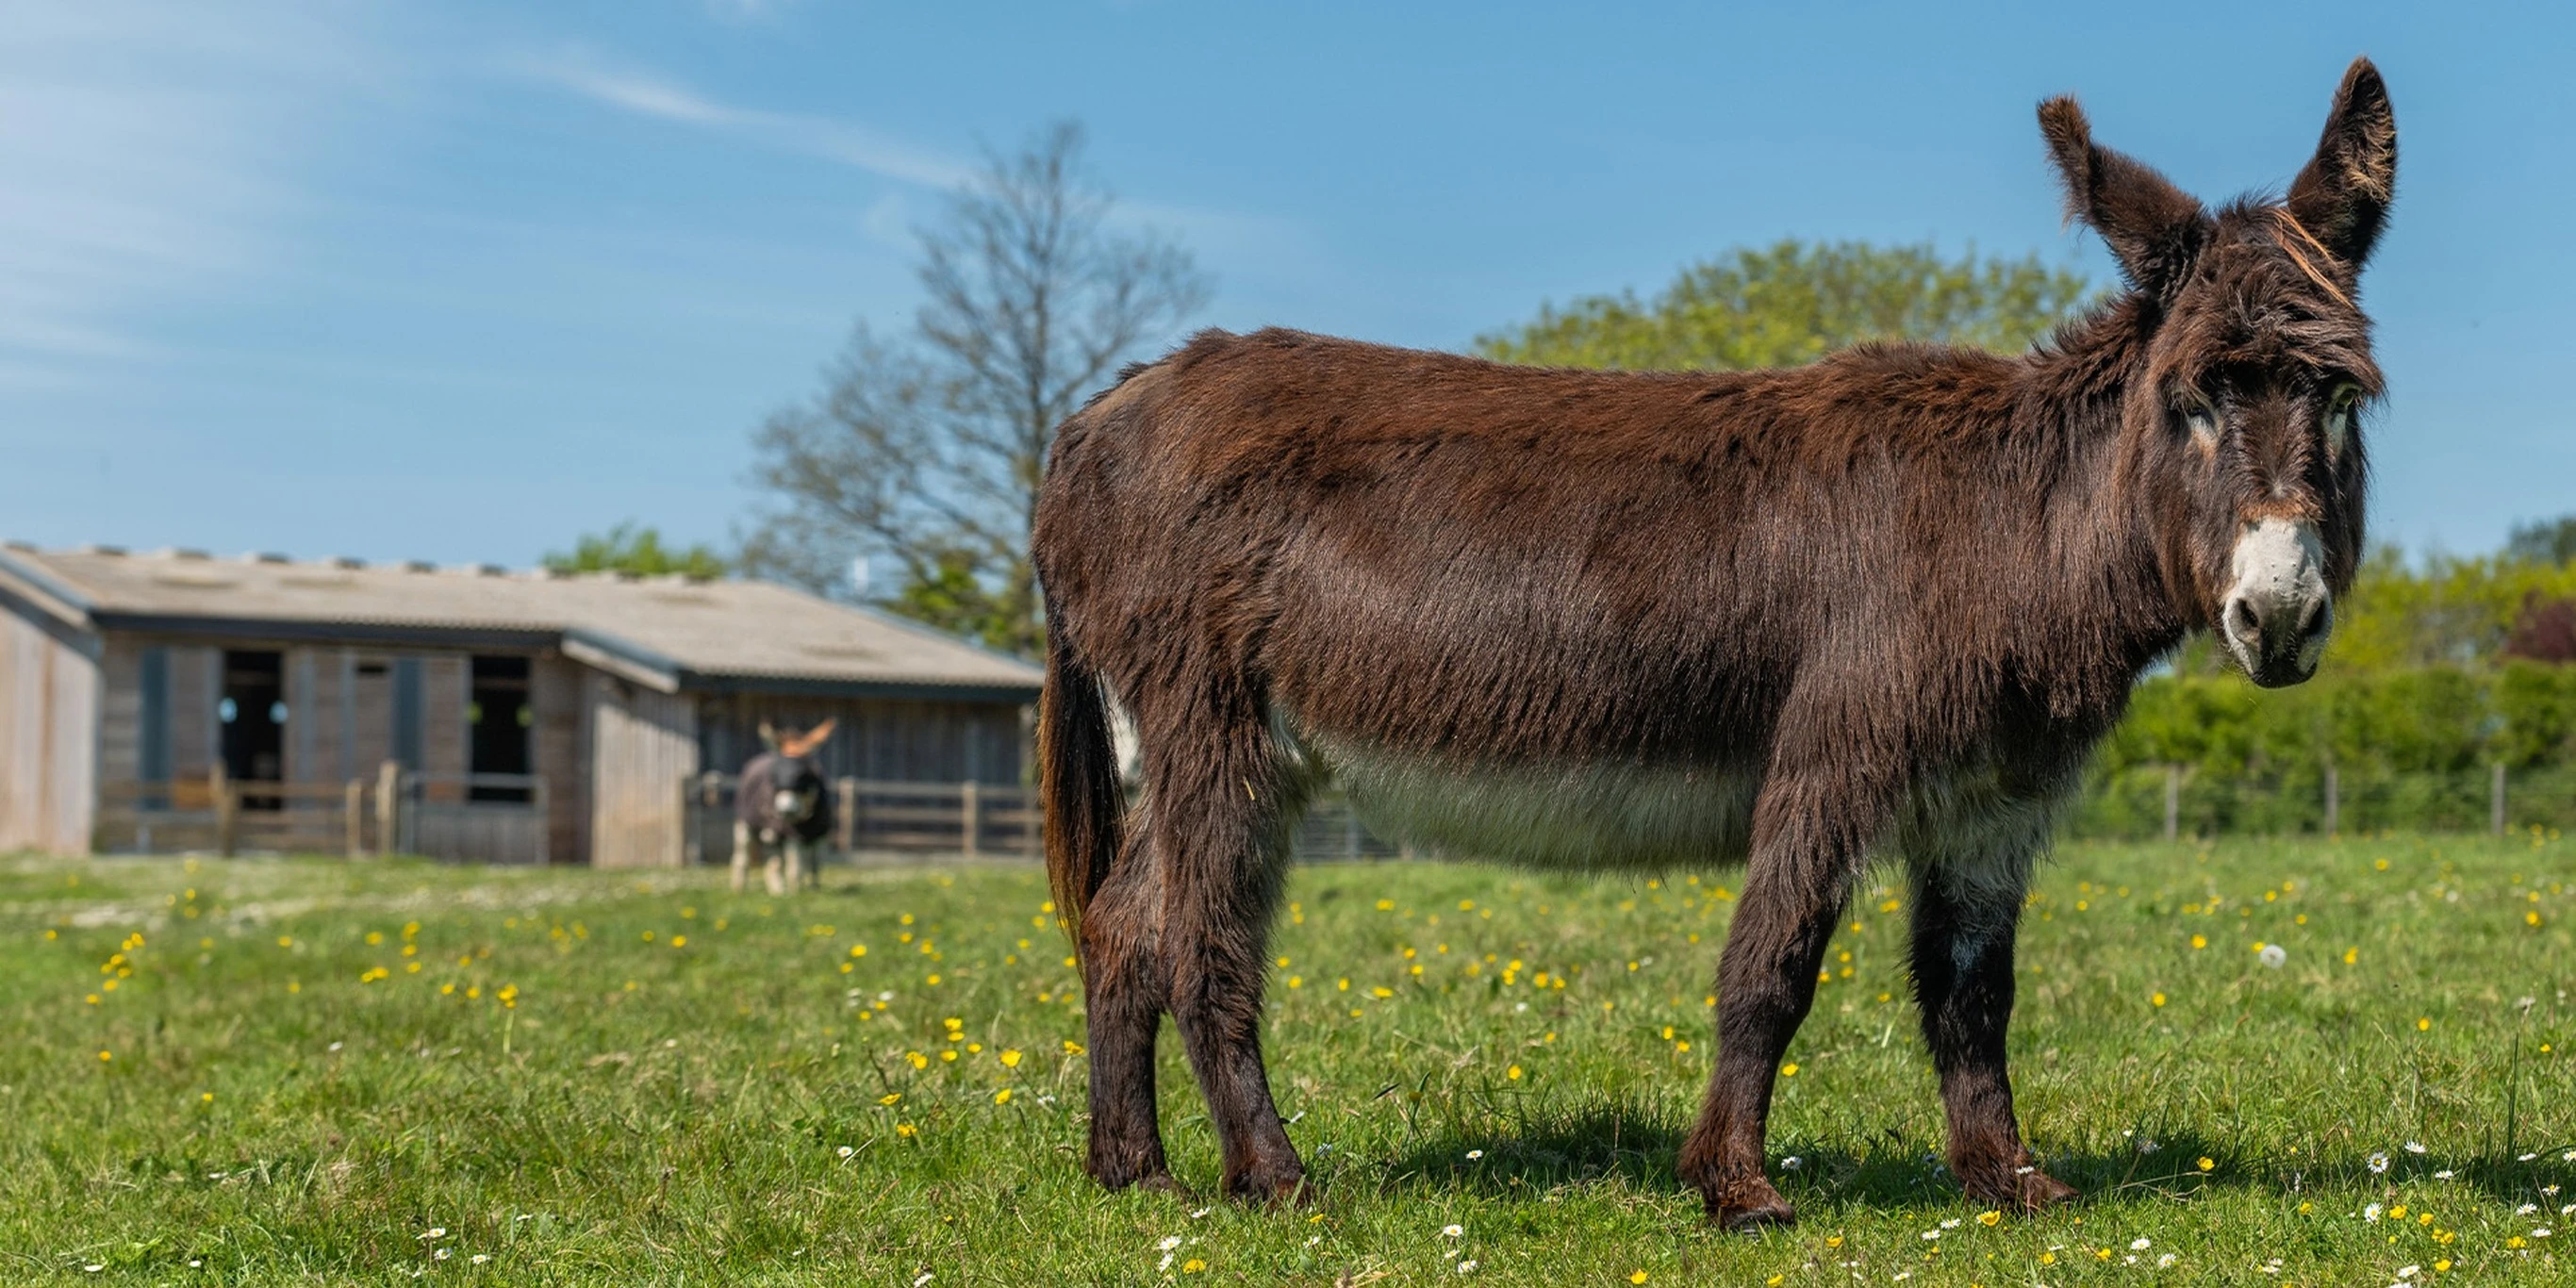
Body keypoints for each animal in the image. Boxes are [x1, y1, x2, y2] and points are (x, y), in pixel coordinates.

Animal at [731, 718, 837, 895]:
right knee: (743, 857)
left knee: (774, 861)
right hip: (745, 825)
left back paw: (777, 889)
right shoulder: (791, 834)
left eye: (804, 772)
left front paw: (814, 890)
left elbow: (815, 865)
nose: (785, 809)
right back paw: (742, 889)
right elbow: (795, 869)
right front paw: (795, 895)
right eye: (775, 772)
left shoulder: (820, 834)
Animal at [1032, 59, 2393, 1228]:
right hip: (1217, 724)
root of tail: (1099, 412)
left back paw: (1134, 1175)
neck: (2008, 522)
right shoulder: (1833, 752)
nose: (2278, 616)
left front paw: (2009, 1181)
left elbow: (1971, 990)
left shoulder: (1993, 798)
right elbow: (1771, 968)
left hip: (1194, 741)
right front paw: (1736, 1187)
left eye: (2338, 400)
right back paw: (1273, 1176)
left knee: (1123, 928)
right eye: (2192, 401)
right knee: (1203, 945)